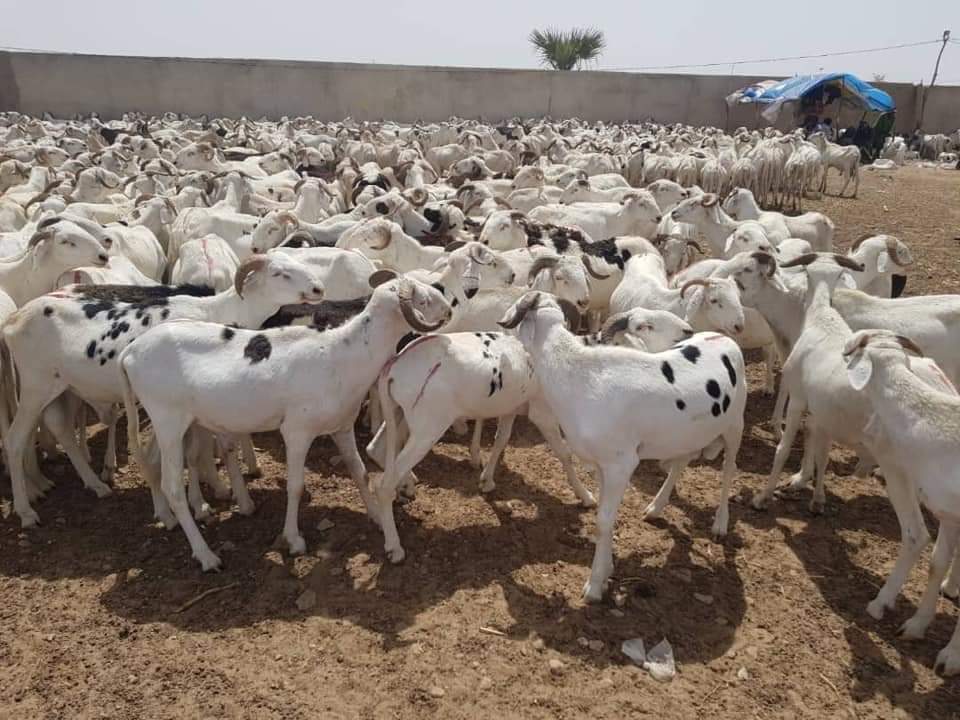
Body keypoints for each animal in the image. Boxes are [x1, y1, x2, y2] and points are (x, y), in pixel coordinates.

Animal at [2, 253, 326, 527]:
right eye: (279, 273)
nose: (318, 289)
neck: (218, 309)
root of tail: (14, 320)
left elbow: (199, 449)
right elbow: (197, 451)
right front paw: (202, 502)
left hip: (63, 387)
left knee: (59, 429)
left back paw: (91, 485)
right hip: (35, 385)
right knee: (15, 440)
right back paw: (27, 509)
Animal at [119, 273, 451, 570]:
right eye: (423, 300)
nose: (449, 310)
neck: (343, 352)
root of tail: (130, 352)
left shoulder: (342, 427)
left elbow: (360, 473)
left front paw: (377, 517)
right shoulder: (297, 432)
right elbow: (295, 486)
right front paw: (294, 540)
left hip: (175, 422)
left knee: (153, 463)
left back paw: (168, 517)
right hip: (168, 421)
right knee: (173, 486)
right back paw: (206, 556)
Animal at [494, 292, 747, 600]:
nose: (501, 324)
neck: (574, 371)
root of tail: (723, 338)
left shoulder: (620, 464)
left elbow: (604, 520)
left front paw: (593, 587)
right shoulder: (601, 464)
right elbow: (605, 518)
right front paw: (606, 572)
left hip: (735, 424)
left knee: (730, 467)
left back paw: (720, 523)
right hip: (689, 433)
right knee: (681, 462)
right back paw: (656, 508)